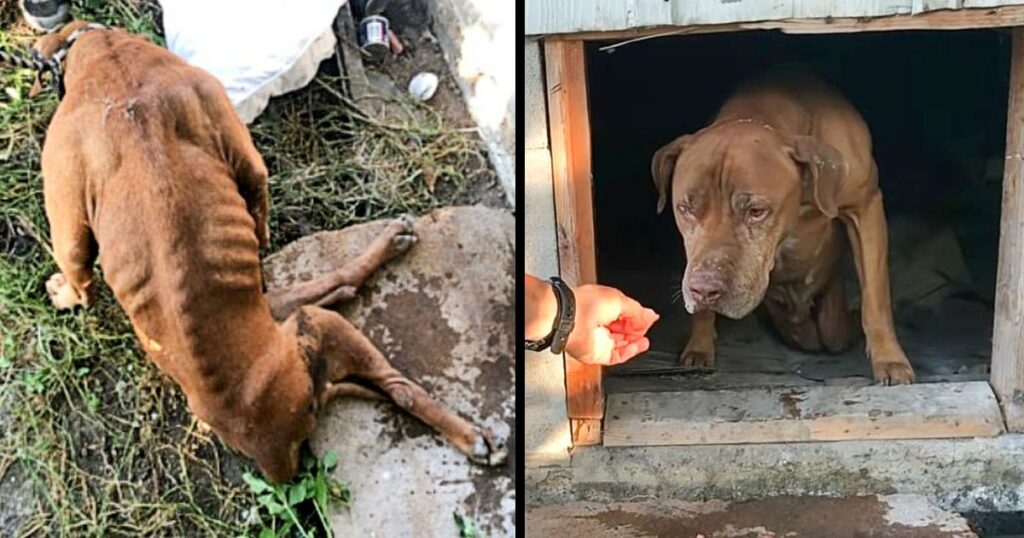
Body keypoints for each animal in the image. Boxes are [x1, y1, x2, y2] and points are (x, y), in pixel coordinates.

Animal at [34, 22, 505, 481]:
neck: (107, 57)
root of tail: (271, 451)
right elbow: (79, 274)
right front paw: (68, 294)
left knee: (377, 363)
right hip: (315, 323)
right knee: (394, 379)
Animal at [651, 68, 917, 385]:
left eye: (756, 211)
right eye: (686, 209)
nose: (704, 291)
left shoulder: (865, 208)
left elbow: (875, 299)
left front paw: (890, 360)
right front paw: (699, 345)